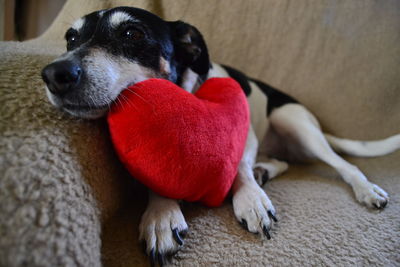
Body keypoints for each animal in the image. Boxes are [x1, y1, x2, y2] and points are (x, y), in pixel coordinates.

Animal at [41, 5, 400, 266]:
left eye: (132, 33)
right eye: (71, 39)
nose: (54, 74)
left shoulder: (246, 132)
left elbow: (238, 164)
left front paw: (251, 198)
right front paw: (161, 214)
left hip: (293, 121)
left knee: (344, 164)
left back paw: (365, 189)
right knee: (281, 162)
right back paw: (265, 170)